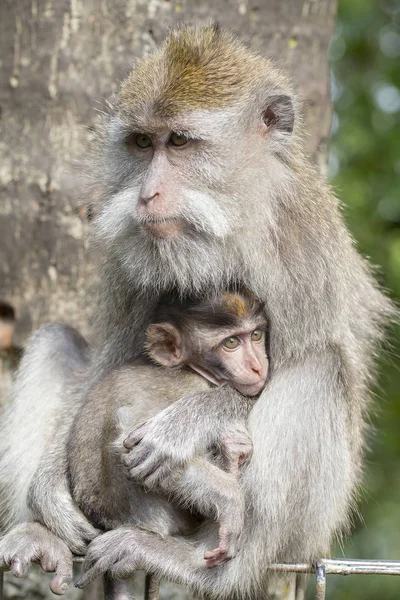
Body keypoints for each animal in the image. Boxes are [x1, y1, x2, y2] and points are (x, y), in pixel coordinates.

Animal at [69, 292, 268, 580]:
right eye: (231, 343)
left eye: (256, 335)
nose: (257, 366)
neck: (193, 370)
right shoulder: (184, 387)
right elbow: (133, 440)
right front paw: (230, 498)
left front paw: (234, 451)